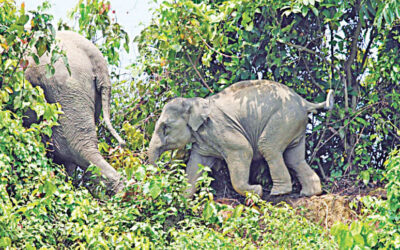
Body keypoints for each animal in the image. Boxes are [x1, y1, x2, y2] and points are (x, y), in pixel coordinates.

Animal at [148, 81, 334, 198]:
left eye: (165, 127)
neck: (195, 102)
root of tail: (304, 102)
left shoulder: (220, 128)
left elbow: (243, 149)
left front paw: (256, 191)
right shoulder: (203, 141)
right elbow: (196, 165)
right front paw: (184, 198)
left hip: (284, 118)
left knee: (269, 148)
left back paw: (278, 193)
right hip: (294, 123)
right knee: (294, 158)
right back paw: (310, 193)